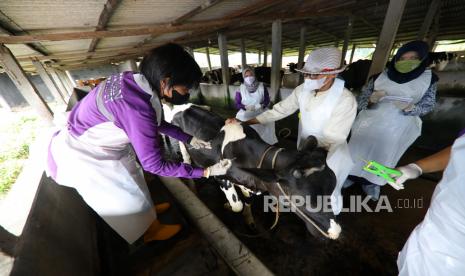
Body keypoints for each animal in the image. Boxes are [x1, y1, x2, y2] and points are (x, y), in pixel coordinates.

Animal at [170, 105, 340, 239]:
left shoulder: (250, 184)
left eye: (331, 189)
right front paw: (228, 205)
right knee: (186, 161)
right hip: (182, 144)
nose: (336, 232)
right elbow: (237, 205)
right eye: (303, 201)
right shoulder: (222, 178)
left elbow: (247, 202)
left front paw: (249, 221)